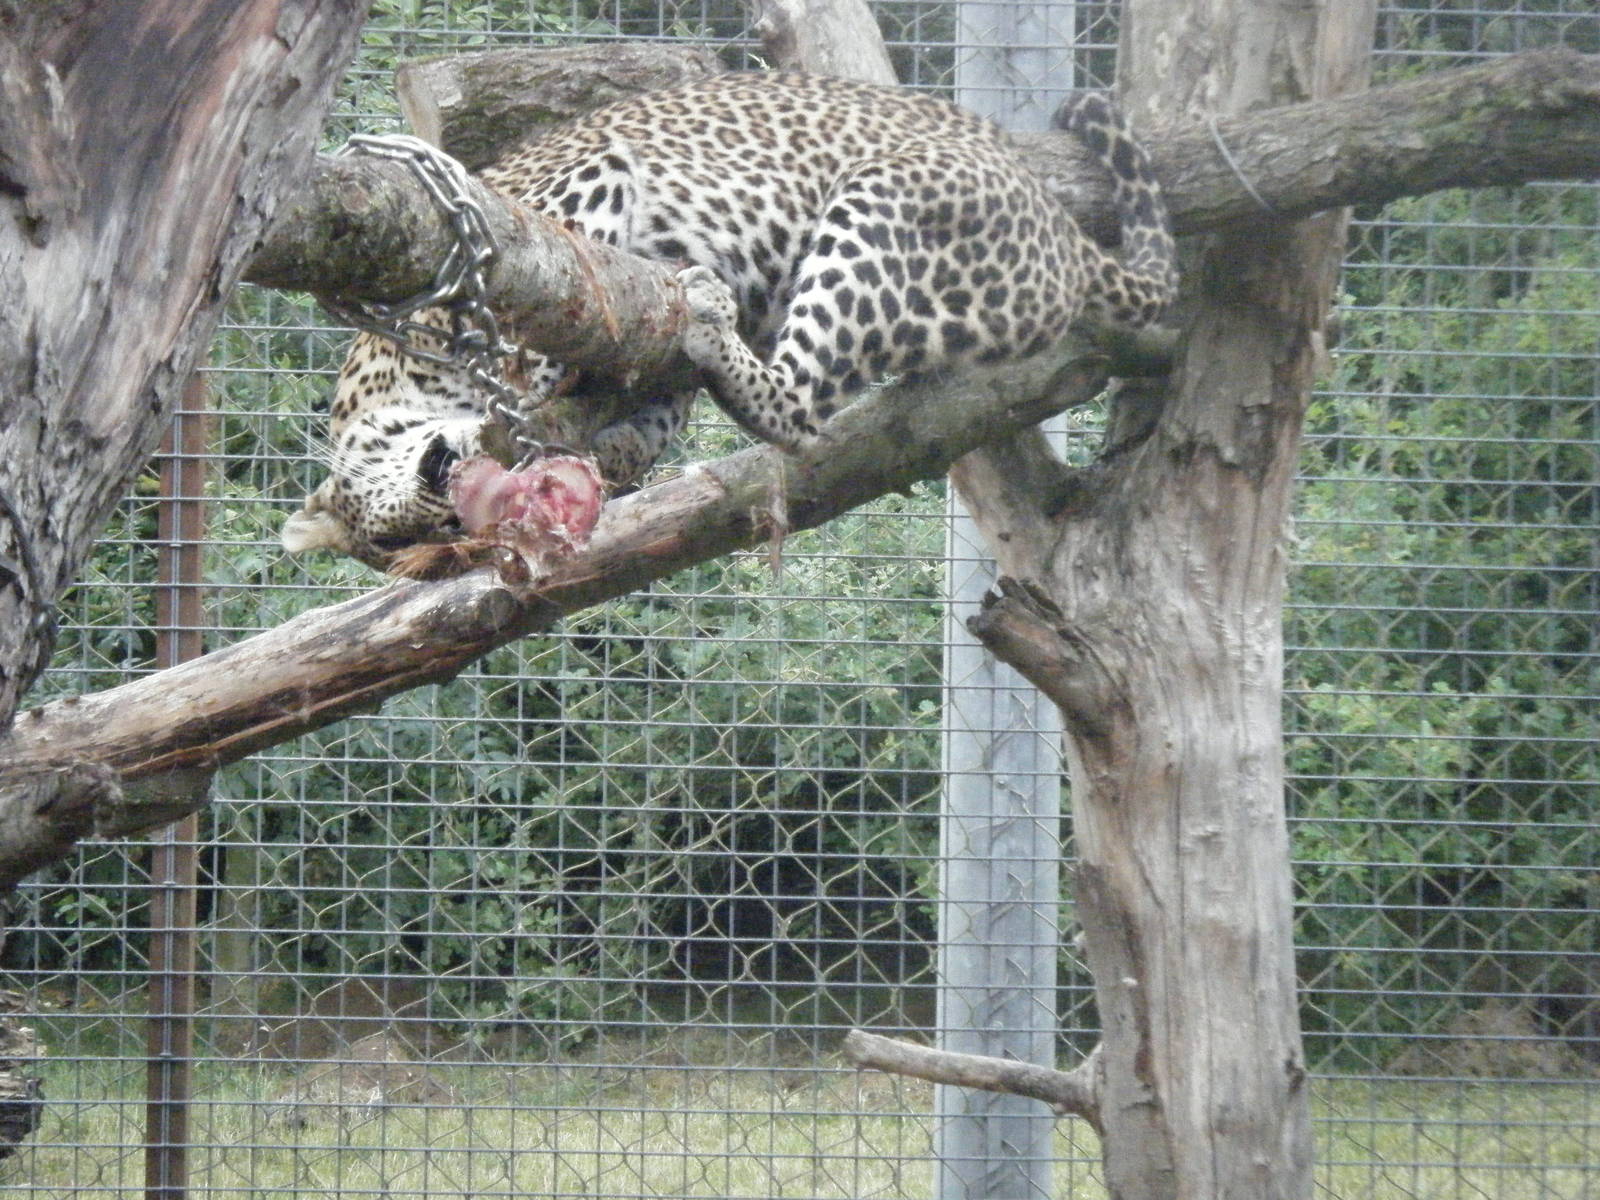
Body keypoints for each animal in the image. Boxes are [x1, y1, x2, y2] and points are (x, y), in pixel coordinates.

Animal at [282, 70, 1177, 565]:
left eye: (398, 536)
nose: (450, 498)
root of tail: (1067, 237)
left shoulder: (577, 188)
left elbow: (546, 301)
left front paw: (530, 377)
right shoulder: (656, 392)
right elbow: (641, 428)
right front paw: (600, 450)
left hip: (887, 202)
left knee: (800, 408)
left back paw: (712, 317)